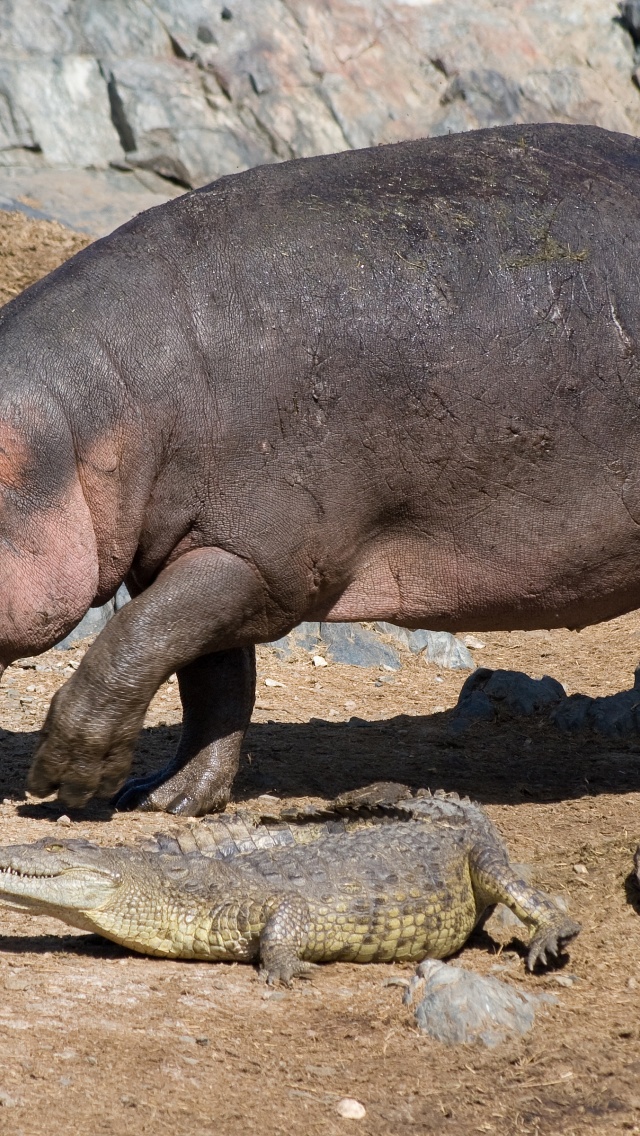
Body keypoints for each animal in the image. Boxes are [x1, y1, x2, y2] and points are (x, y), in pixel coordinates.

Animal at [0, 122, 636, 817]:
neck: (83, 419)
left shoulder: (262, 559)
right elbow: (210, 679)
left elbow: (137, 638)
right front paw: (165, 797)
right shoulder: (203, 549)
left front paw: (68, 778)